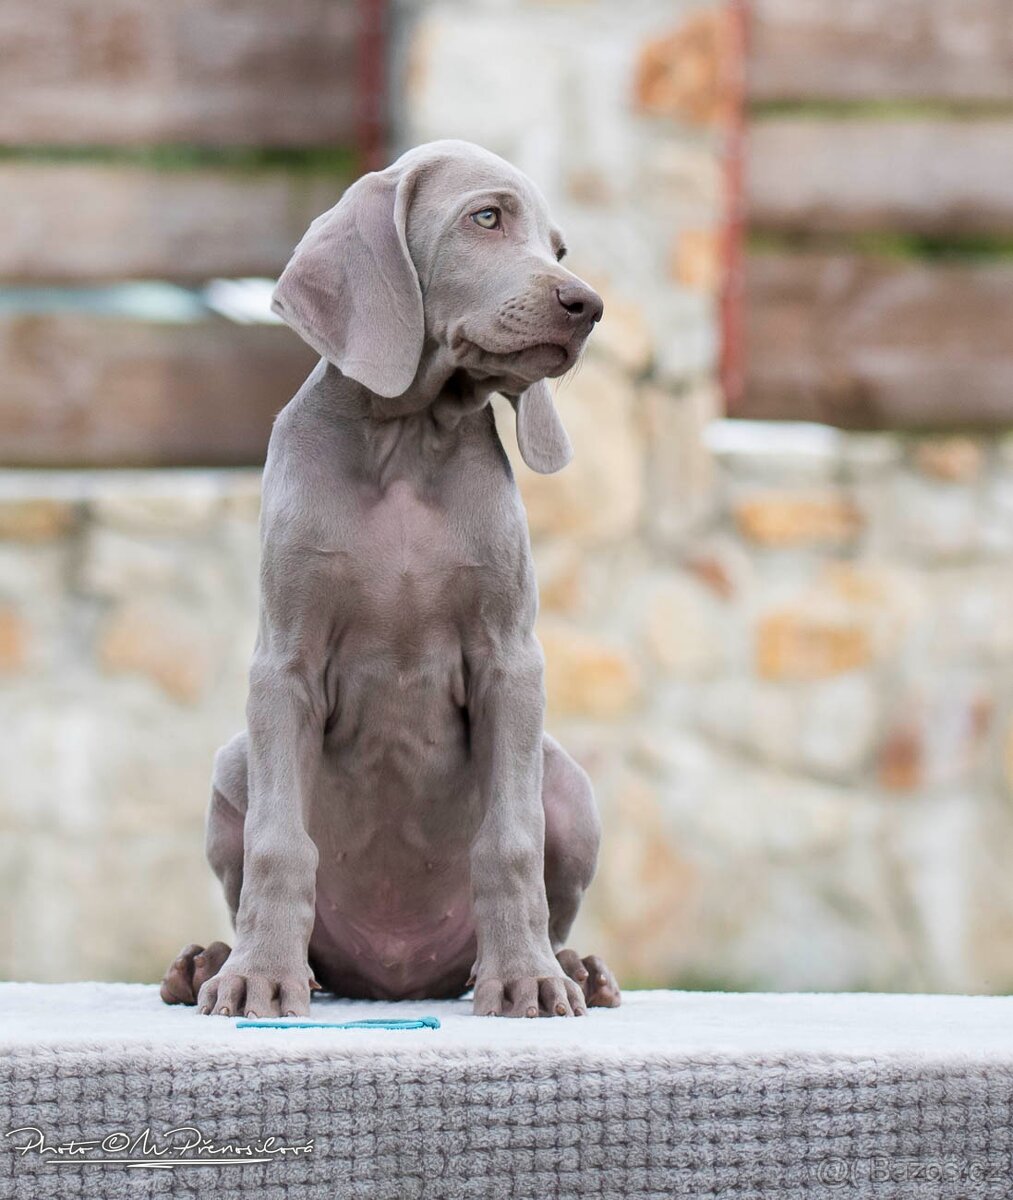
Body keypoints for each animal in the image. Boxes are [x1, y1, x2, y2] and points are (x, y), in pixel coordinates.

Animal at [159, 142, 619, 1022]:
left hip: (568, 784)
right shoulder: (285, 664)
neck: (407, 443)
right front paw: (258, 977)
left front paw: (528, 980)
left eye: (559, 248)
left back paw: (569, 968)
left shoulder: (511, 661)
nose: (587, 305)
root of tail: (397, 980)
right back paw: (213, 963)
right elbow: (279, 843)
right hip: (233, 766)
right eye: (486, 217)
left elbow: (508, 842)